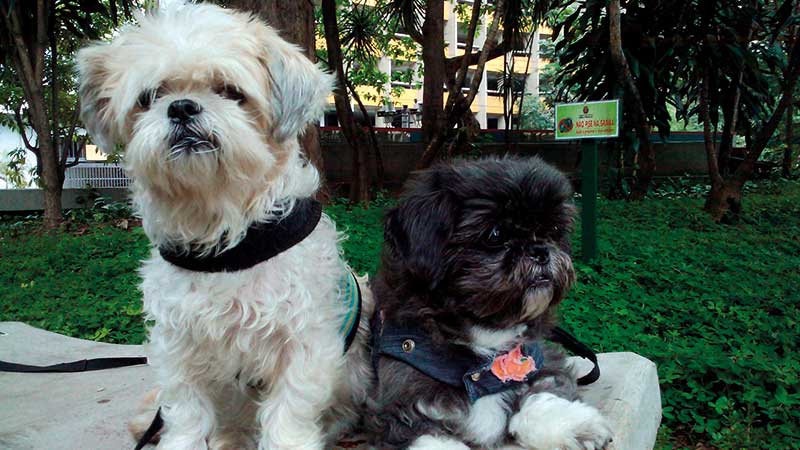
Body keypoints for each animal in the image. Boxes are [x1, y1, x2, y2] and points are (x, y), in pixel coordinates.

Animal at [78, 4, 372, 450]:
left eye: (231, 91)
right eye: (150, 98)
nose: (182, 107)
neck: (227, 241)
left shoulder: (303, 341)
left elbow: (288, 410)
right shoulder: (178, 344)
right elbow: (186, 411)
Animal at [368, 156, 612, 448]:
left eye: (553, 230)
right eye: (495, 234)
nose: (541, 250)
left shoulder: (537, 356)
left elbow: (542, 391)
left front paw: (574, 425)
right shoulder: (399, 405)